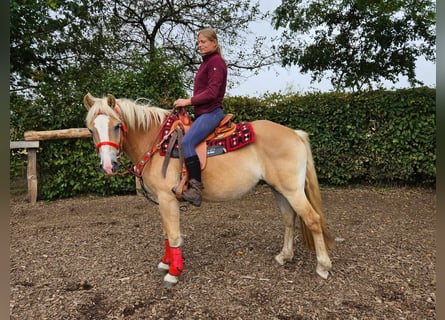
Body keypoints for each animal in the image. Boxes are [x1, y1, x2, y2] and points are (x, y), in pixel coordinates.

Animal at [82, 92, 332, 288]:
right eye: (91, 130)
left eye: (116, 126)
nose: (108, 166)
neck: (156, 142)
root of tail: (295, 133)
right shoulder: (161, 201)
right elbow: (166, 233)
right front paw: (166, 263)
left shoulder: (167, 199)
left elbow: (174, 235)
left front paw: (174, 273)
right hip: (278, 189)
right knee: (289, 218)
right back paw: (285, 256)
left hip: (293, 190)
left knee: (312, 219)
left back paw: (323, 266)